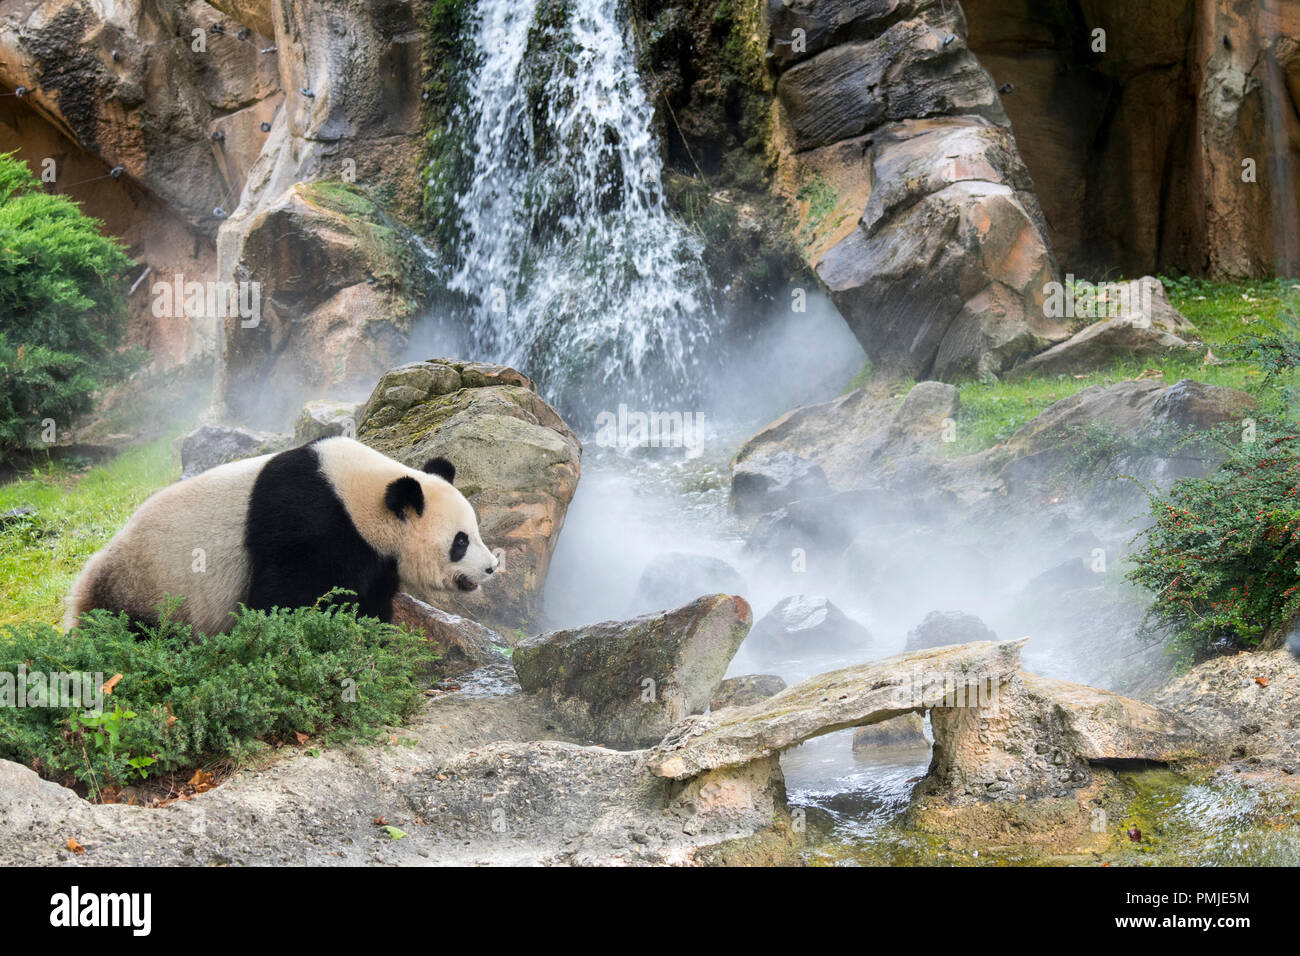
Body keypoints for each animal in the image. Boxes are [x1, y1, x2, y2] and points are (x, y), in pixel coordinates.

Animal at [61, 434, 499, 634]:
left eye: (473, 532)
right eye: (461, 541)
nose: (492, 567)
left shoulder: (374, 557)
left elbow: (369, 599)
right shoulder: (312, 525)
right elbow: (282, 599)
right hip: (150, 584)